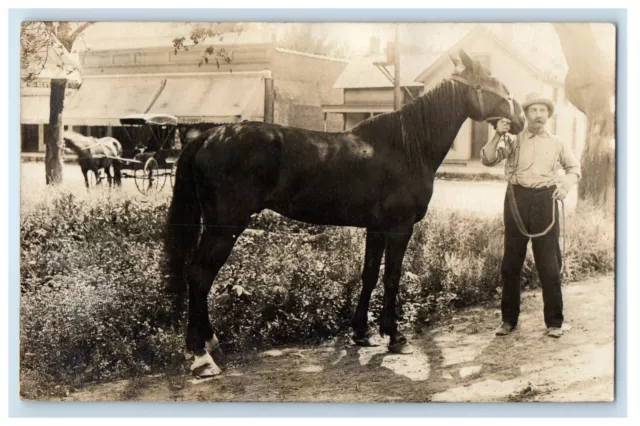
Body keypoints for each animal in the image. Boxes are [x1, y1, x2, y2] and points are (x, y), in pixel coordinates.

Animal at [165, 49, 524, 376]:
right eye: (495, 84)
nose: (520, 120)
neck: (407, 147)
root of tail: (210, 135)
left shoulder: (376, 228)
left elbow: (369, 275)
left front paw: (362, 332)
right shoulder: (399, 227)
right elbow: (391, 277)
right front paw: (395, 335)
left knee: (199, 276)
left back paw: (208, 344)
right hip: (224, 227)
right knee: (199, 275)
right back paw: (202, 356)